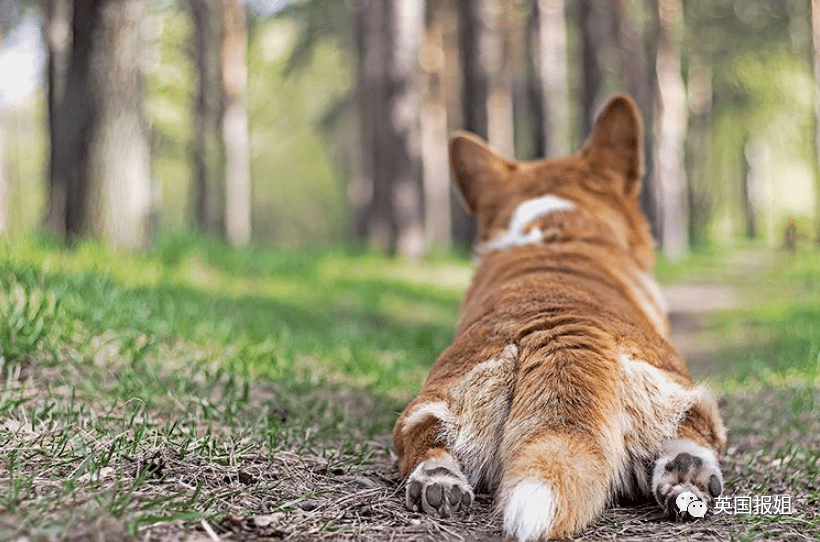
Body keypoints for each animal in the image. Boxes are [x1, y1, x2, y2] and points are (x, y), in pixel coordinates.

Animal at [394, 95, 728, 540]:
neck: (554, 230)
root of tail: (560, 324)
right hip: (692, 399)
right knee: (693, 435)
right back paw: (689, 474)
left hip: (430, 407)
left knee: (430, 444)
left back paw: (438, 485)